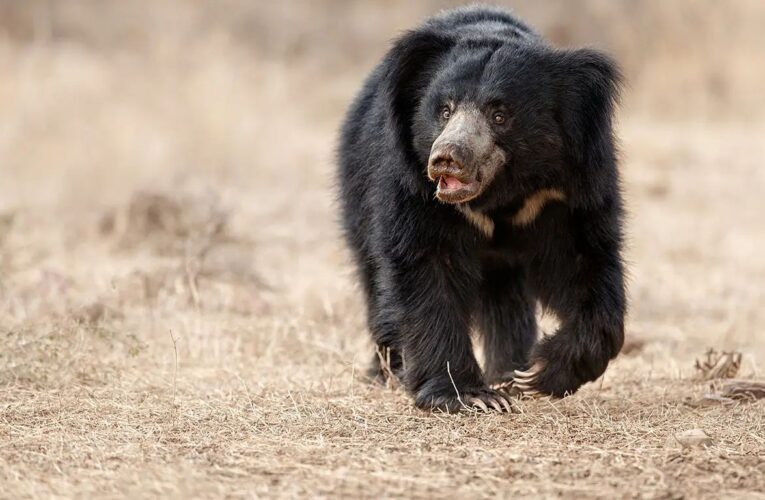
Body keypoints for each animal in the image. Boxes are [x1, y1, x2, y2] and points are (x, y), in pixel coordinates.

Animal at [337, 6, 626, 412]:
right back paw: (388, 371)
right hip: (357, 192)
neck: (499, 195)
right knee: (374, 280)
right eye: (444, 110)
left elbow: (586, 262)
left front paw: (536, 373)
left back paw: (508, 370)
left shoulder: (568, 189)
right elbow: (426, 268)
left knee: (507, 299)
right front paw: (470, 396)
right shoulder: (412, 187)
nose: (446, 159)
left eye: (499, 115)